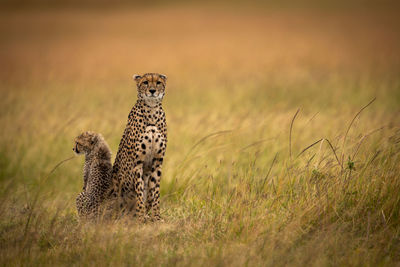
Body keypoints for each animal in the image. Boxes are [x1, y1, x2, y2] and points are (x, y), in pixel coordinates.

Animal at [108, 73, 167, 222]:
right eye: (145, 82)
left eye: (158, 82)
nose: (152, 90)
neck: (151, 110)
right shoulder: (137, 163)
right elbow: (140, 192)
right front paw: (140, 216)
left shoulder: (157, 162)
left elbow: (154, 192)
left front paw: (156, 216)